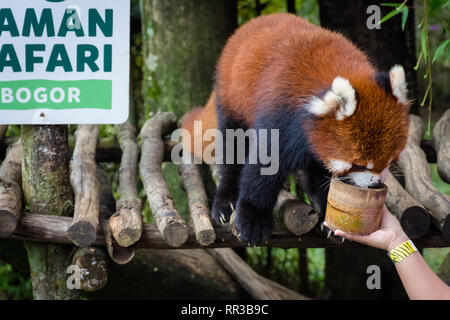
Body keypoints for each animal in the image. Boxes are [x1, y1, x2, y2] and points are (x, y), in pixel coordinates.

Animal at [180, 11, 412, 242]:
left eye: (390, 160)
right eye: (359, 164)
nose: (375, 184)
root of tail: (250, 25)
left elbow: (320, 175)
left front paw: (327, 216)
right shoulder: (280, 116)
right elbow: (262, 168)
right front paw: (252, 220)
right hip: (233, 100)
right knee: (232, 148)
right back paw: (225, 200)